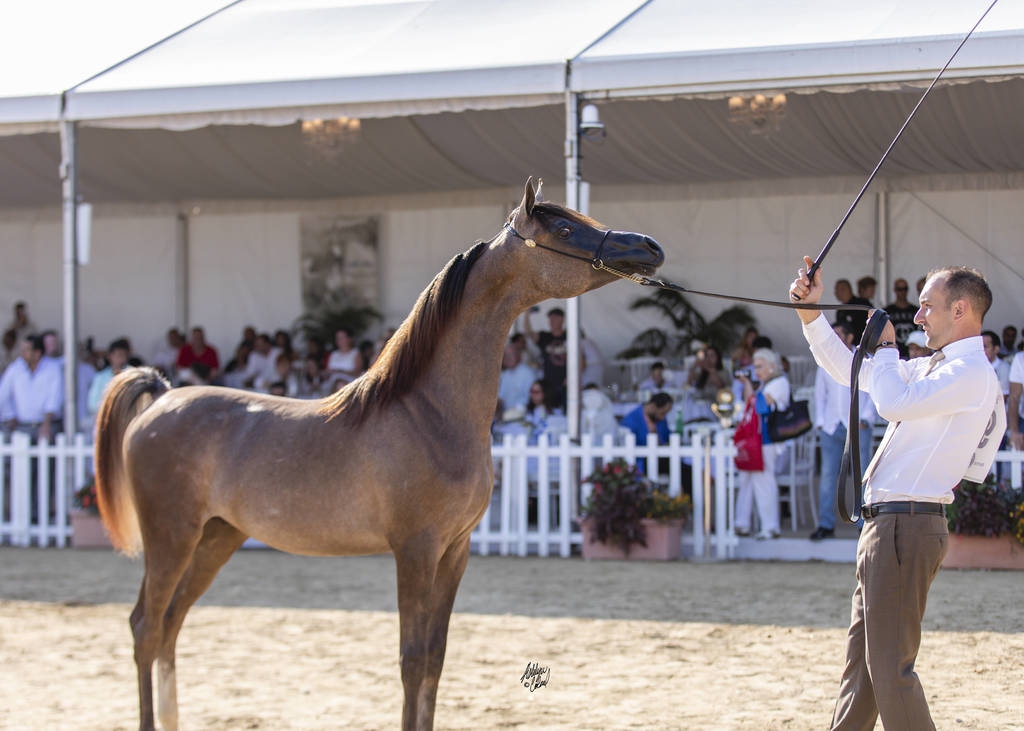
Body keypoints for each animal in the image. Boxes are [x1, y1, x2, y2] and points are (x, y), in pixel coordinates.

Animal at [95, 178, 664, 731]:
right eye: (566, 229)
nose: (649, 247)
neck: (429, 414)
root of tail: (162, 398)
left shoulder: (455, 551)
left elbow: (434, 658)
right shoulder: (415, 550)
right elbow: (411, 660)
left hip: (216, 537)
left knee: (171, 623)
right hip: (171, 537)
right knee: (146, 626)